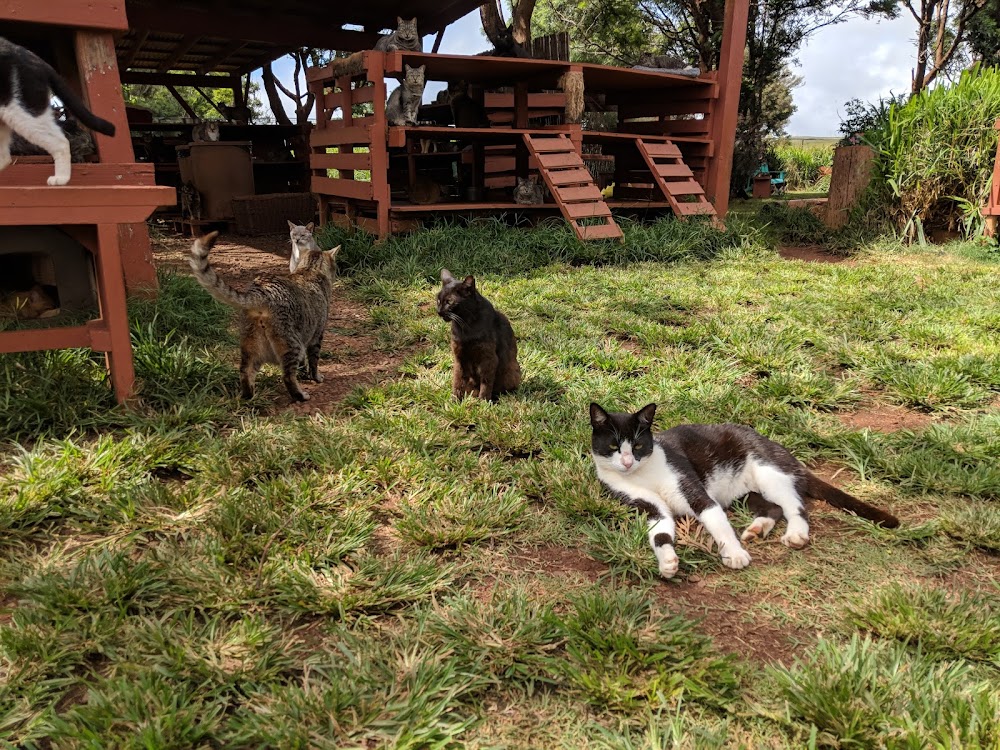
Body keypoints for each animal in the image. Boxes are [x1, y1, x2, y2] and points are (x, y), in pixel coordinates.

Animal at [588, 402, 904, 580]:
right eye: (614, 446)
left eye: (639, 445)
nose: (627, 462)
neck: (643, 476)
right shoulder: (647, 506)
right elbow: (660, 532)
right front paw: (668, 562)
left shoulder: (693, 489)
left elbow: (716, 521)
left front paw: (735, 554)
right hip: (746, 494)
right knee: (772, 508)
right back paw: (757, 528)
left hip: (769, 472)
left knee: (795, 506)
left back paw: (795, 534)